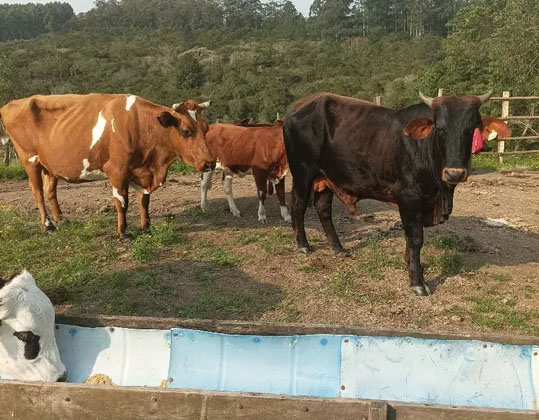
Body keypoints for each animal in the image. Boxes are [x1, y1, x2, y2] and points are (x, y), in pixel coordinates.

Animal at [0, 95, 215, 240]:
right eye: (186, 131)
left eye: (206, 128)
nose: (210, 162)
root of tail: (12, 103)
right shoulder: (117, 171)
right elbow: (122, 202)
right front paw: (124, 233)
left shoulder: (143, 172)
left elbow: (144, 201)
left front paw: (146, 226)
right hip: (29, 160)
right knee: (37, 191)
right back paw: (48, 226)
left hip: (51, 165)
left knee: (49, 190)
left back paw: (61, 220)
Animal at [284, 92, 512, 296]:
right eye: (440, 128)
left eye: (472, 128)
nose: (454, 173)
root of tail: (297, 107)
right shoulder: (408, 197)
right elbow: (416, 238)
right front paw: (417, 282)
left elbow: (411, 240)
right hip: (303, 173)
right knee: (298, 204)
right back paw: (303, 245)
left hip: (327, 178)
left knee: (323, 208)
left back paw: (337, 247)